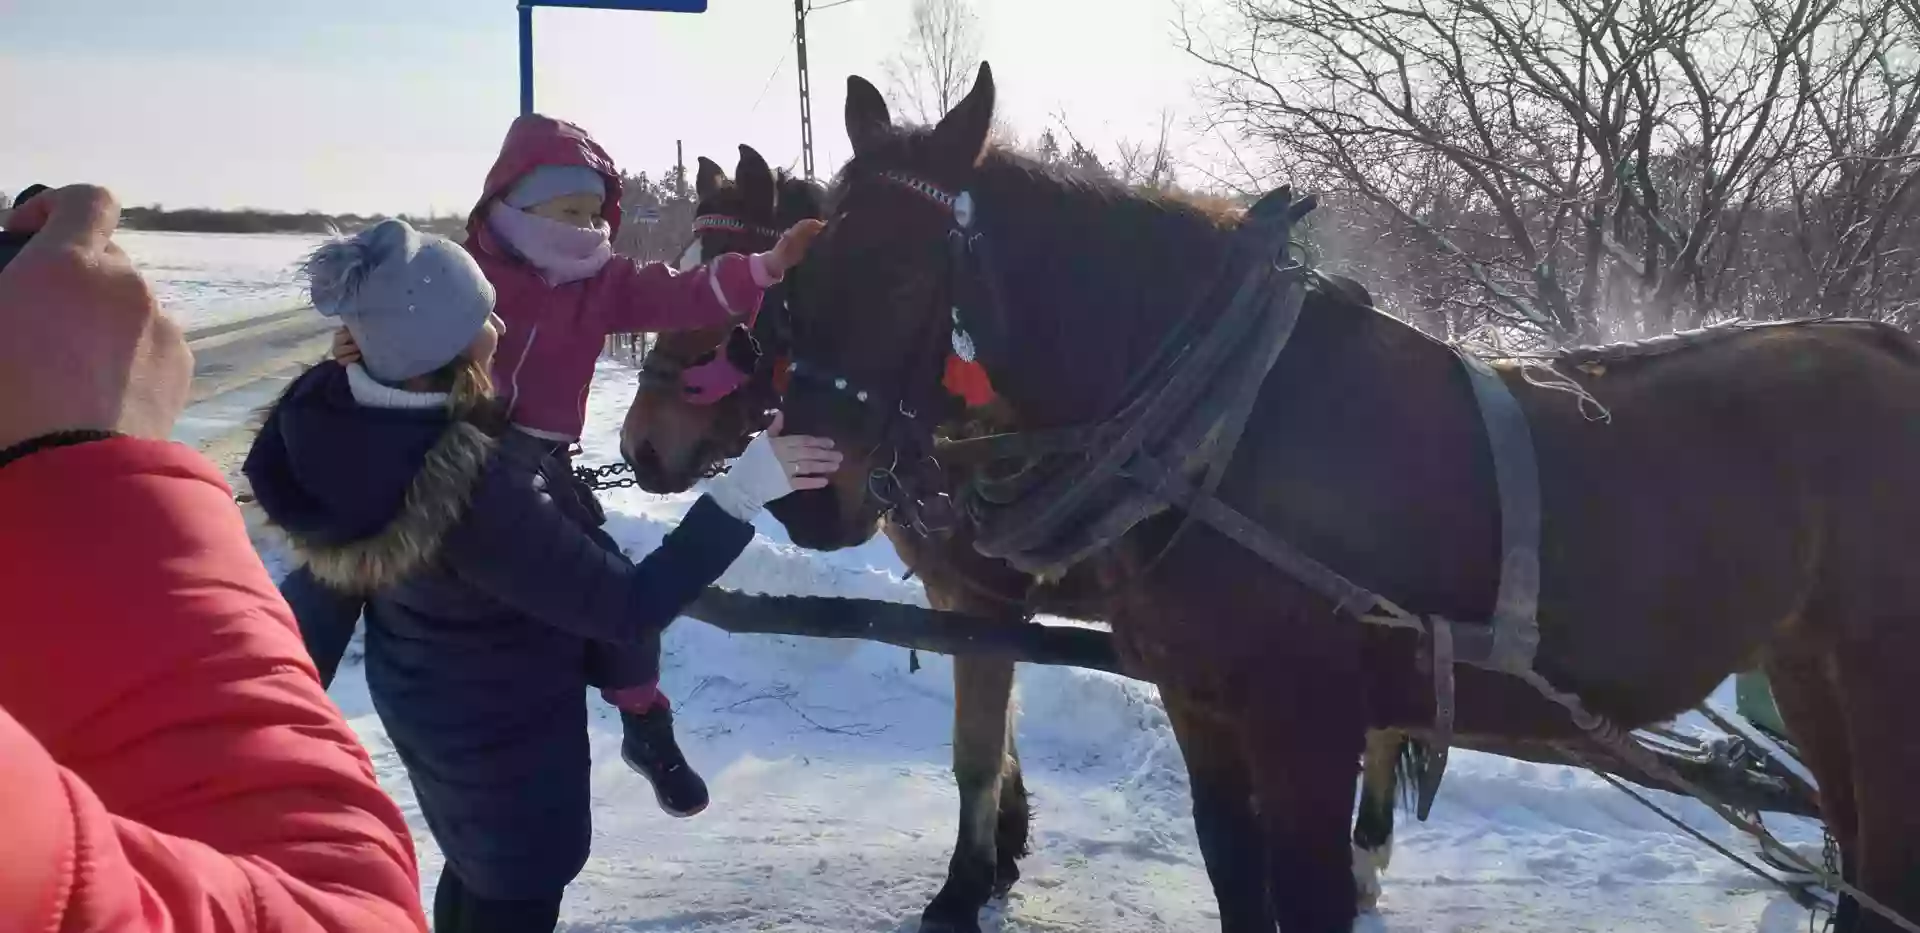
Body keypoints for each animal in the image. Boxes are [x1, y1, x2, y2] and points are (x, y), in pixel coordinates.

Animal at [756, 61, 1920, 929]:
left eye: (902, 277)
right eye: (798, 270)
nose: (808, 491)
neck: (1217, 420)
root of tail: (1891, 346)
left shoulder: (1303, 719)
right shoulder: (1201, 704)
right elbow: (1234, 884)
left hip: (1879, 679)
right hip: (1808, 669)